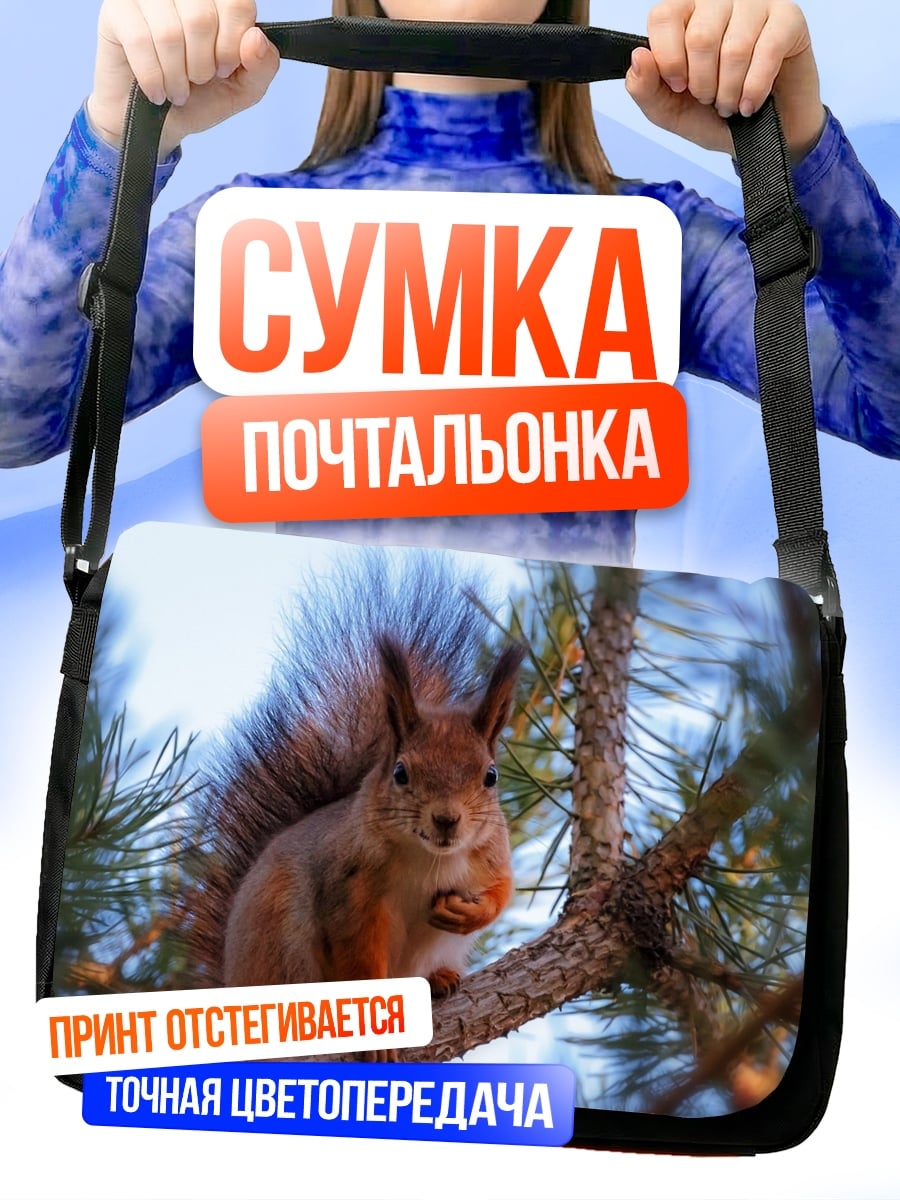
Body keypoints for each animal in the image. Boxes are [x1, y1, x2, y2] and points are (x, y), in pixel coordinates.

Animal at [188, 552, 525, 1000]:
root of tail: (230, 978)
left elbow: (503, 890)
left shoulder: (490, 855)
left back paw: (439, 978)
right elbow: (357, 955)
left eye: (490, 776)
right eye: (400, 772)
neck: (430, 858)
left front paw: (468, 912)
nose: (446, 819)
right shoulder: (349, 892)